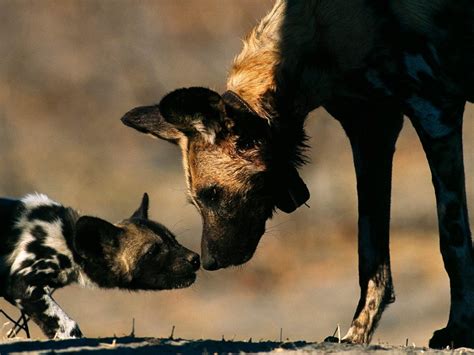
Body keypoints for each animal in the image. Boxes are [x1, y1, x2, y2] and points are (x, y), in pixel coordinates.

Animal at [0, 195, 199, 340]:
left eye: (174, 240)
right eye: (152, 251)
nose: (195, 259)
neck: (68, 242)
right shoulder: (23, 284)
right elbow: (68, 327)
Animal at [120, 0, 474, 350]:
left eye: (213, 193)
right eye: (197, 201)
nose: (207, 262)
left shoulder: (435, 112)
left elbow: (454, 244)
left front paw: (458, 330)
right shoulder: (372, 132)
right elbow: (371, 258)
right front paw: (357, 334)